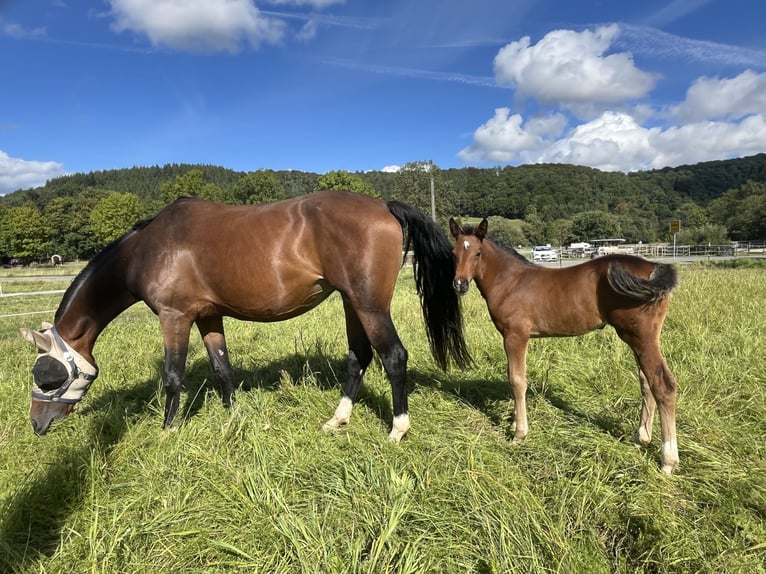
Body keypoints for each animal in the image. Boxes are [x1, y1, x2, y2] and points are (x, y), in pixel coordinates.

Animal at [19, 191, 472, 439]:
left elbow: (173, 376)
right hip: (350, 303)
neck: (147, 248)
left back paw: (398, 429)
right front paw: (231, 419)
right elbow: (222, 369)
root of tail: (383, 205)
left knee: (393, 357)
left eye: (47, 374)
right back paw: (337, 420)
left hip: (369, 304)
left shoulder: (174, 317)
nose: (36, 425)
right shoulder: (208, 317)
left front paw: (167, 431)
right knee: (358, 357)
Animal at [449, 218, 680, 474]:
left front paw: (519, 433)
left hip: (641, 336)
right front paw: (514, 423)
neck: (509, 281)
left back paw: (668, 461)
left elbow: (517, 381)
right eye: (453, 253)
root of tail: (654, 267)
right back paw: (642, 438)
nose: (459, 285)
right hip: (636, 338)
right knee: (646, 382)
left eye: (477, 253)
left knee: (663, 385)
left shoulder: (515, 336)